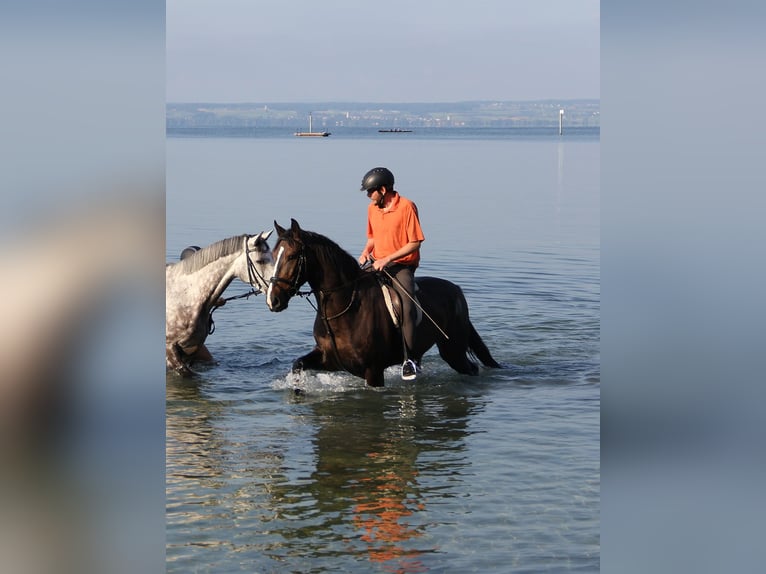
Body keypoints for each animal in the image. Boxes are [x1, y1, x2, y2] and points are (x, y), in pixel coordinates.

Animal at [266, 219, 504, 388]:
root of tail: (456, 290)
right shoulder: (329, 359)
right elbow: (298, 365)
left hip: (453, 349)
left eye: (292, 256)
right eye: (273, 255)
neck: (344, 309)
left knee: (471, 368)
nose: (273, 300)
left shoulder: (373, 371)